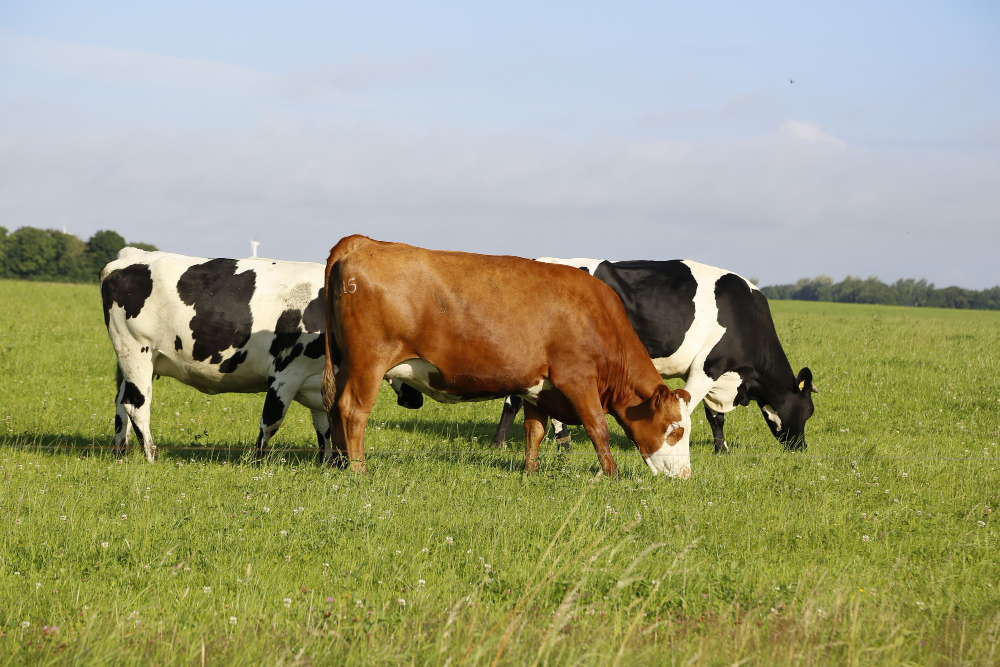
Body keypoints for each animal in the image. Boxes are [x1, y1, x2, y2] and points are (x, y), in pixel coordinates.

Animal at [100, 248, 422, 462]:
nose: (416, 400)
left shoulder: (317, 380)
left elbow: (325, 425)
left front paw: (328, 461)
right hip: (137, 351)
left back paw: (120, 452)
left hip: (132, 361)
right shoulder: (287, 372)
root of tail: (131, 255)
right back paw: (150, 455)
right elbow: (272, 421)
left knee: (120, 403)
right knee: (136, 405)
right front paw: (257, 461)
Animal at [321, 235, 694, 479]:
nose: (686, 473)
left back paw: (337, 463)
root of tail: (363, 242)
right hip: (368, 363)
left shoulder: (538, 387)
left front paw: (531, 472)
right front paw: (612, 474)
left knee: (334, 406)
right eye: (674, 428)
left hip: (344, 363)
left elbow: (535, 431)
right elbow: (597, 428)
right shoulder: (578, 379)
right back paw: (358, 471)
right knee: (352, 410)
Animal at [492, 258, 818, 453]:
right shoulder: (707, 368)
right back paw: (500, 444)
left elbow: (716, 418)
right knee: (513, 400)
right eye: (809, 410)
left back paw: (561, 443)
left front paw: (721, 450)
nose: (801, 448)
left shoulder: (715, 373)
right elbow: (688, 410)